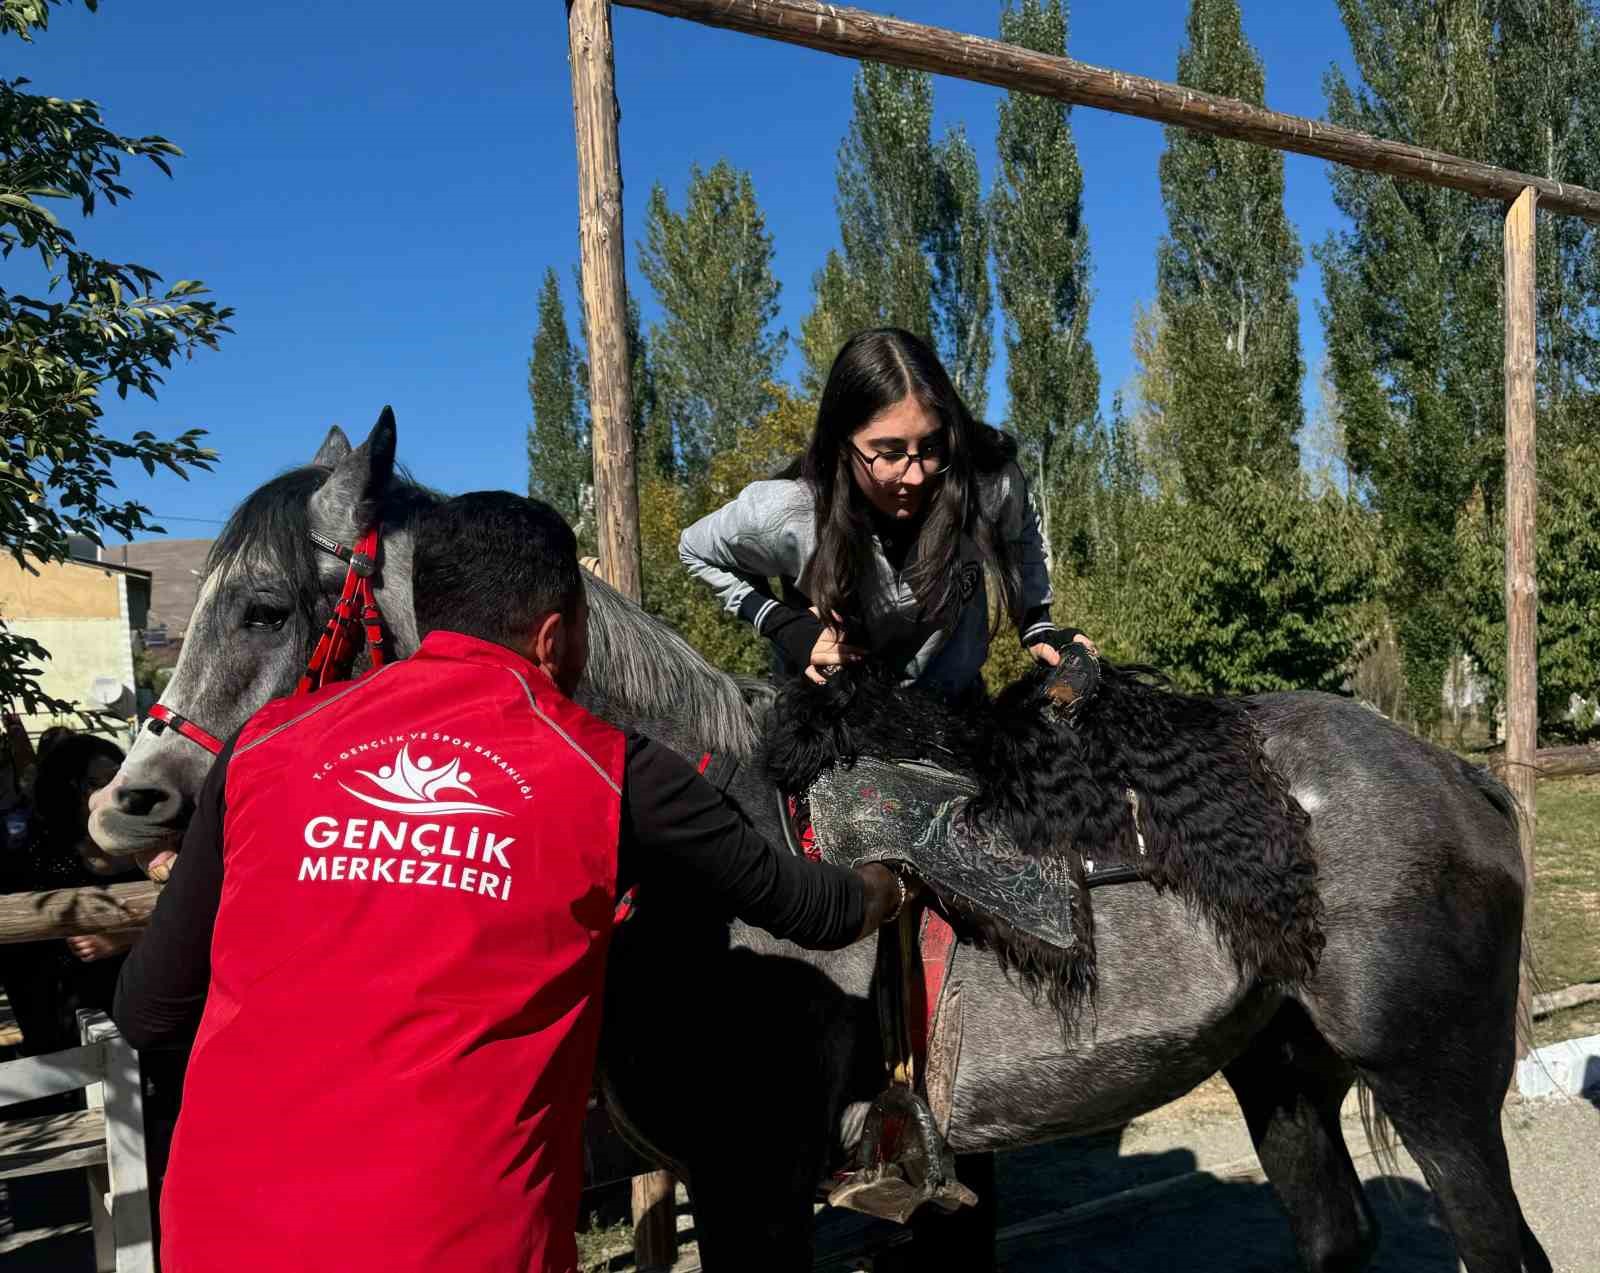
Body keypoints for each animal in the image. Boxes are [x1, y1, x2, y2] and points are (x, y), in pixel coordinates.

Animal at [90, 419, 1548, 1273]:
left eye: (264, 605)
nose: (130, 806)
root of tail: (1454, 776)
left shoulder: (756, 1183)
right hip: (1280, 1066)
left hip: (1433, 1085)